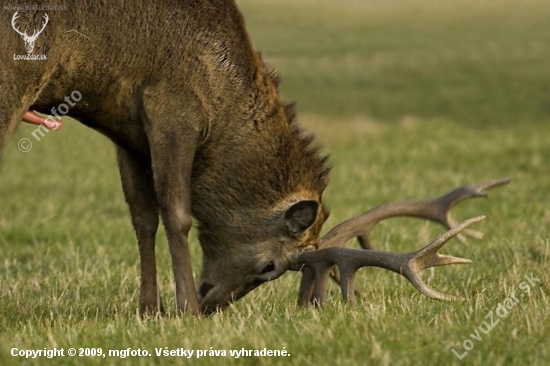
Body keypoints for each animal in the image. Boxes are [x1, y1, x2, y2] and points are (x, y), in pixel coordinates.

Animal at [0, 0, 512, 316]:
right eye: (270, 267)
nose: (213, 305)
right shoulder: (171, 107)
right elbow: (177, 213)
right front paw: (182, 310)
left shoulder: (127, 131)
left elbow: (142, 217)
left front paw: (148, 310)